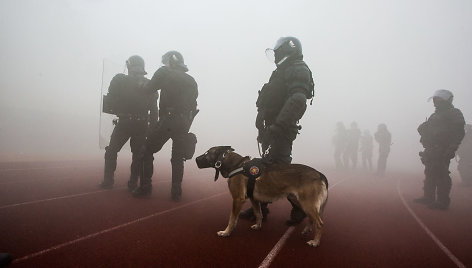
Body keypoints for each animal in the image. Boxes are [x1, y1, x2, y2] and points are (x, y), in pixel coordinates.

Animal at [195, 147, 328, 247]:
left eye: (206, 153)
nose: (195, 159)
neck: (236, 165)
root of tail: (319, 174)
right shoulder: (254, 199)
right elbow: (258, 213)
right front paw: (258, 226)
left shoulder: (238, 199)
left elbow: (232, 218)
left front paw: (226, 232)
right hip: (300, 201)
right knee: (310, 218)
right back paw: (306, 230)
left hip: (307, 203)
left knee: (320, 223)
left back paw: (315, 242)